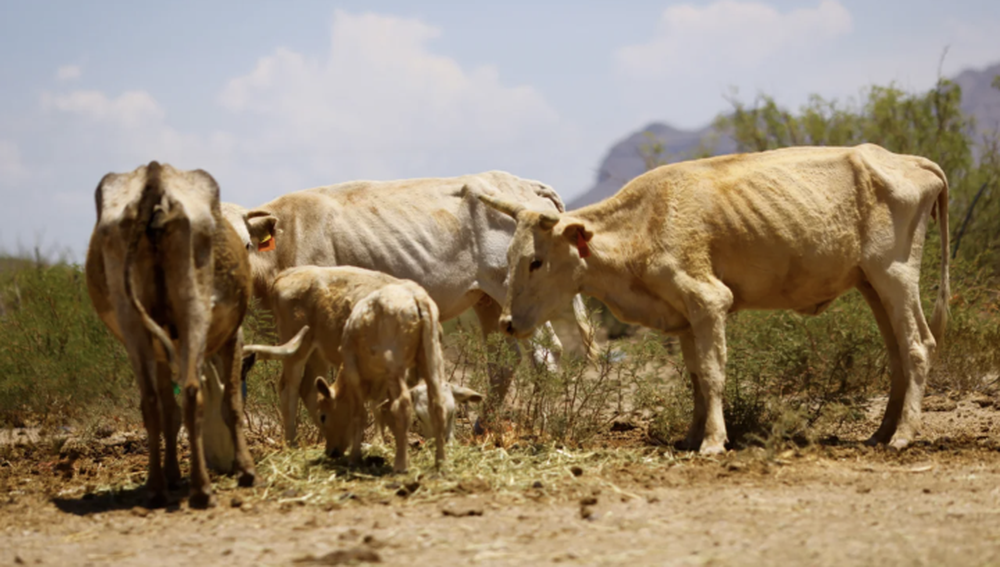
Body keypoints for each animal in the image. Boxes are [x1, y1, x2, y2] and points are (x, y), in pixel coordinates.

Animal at [219, 171, 592, 432]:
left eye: (246, 244)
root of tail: (523, 183)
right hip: (488, 301)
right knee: (503, 362)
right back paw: (481, 428)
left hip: (516, 293)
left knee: (546, 353)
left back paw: (540, 424)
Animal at [316, 282, 450, 472]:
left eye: (323, 416)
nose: (331, 452)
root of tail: (416, 295)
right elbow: (386, 413)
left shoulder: (353, 371)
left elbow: (360, 415)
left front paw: (354, 457)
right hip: (431, 358)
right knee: (437, 404)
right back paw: (440, 462)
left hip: (395, 364)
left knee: (403, 404)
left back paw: (401, 465)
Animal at [480, 146, 948, 458]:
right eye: (509, 256)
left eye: (536, 261)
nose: (506, 322)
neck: (643, 224)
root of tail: (910, 160)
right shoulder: (684, 315)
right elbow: (693, 378)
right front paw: (691, 437)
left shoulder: (708, 301)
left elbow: (712, 372)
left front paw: (712, 442)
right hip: (871, 284)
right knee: (896, 354)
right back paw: (880, 434)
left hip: (895, 274)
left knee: (918, 346)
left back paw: (903, 436)